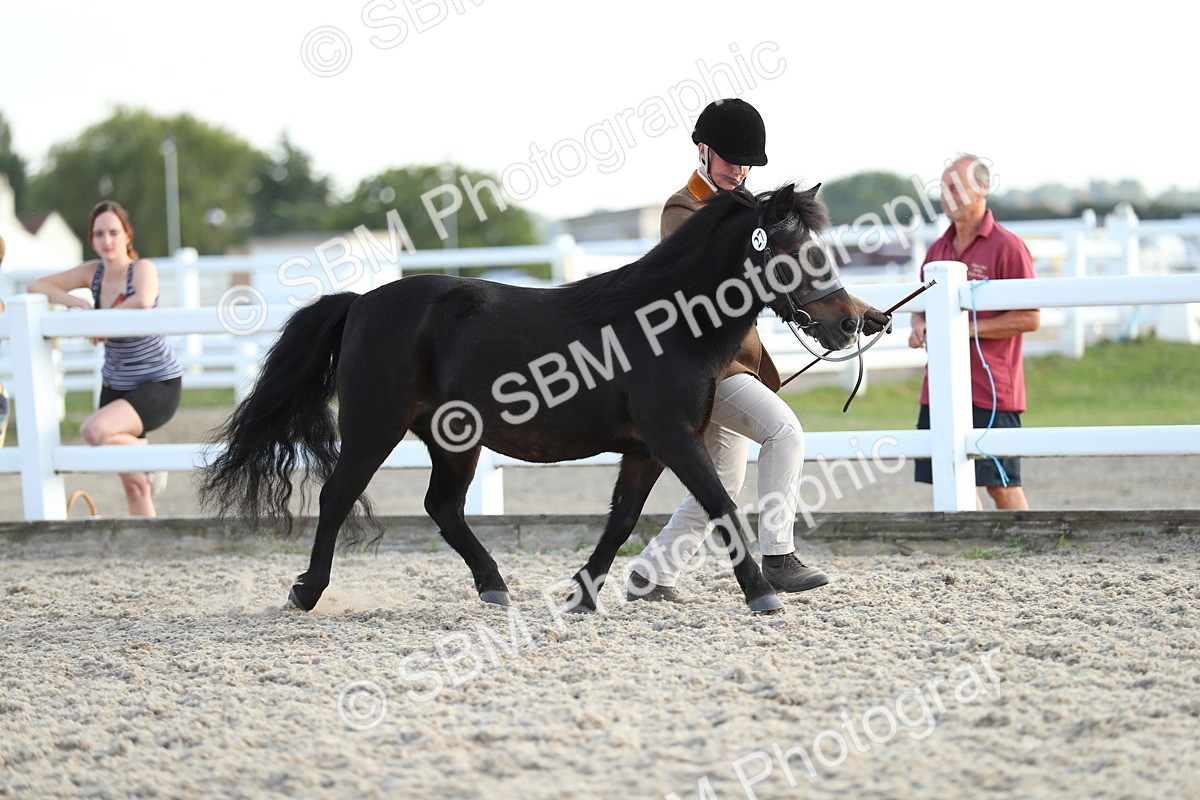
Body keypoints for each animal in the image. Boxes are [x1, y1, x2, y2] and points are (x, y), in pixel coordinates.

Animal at [199, 183, 885, 614]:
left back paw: (495, 587)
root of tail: (361, 302)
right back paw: (307, 592)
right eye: (795, 251)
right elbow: (720, 504)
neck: (665, 323)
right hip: (376, 425)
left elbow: (623, 521)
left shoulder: (646, 449)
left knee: (442, 506)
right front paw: (761, 594)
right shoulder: (671, 436)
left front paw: (583, 595)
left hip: (454, 439)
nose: (854, 321)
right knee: (339, 496)